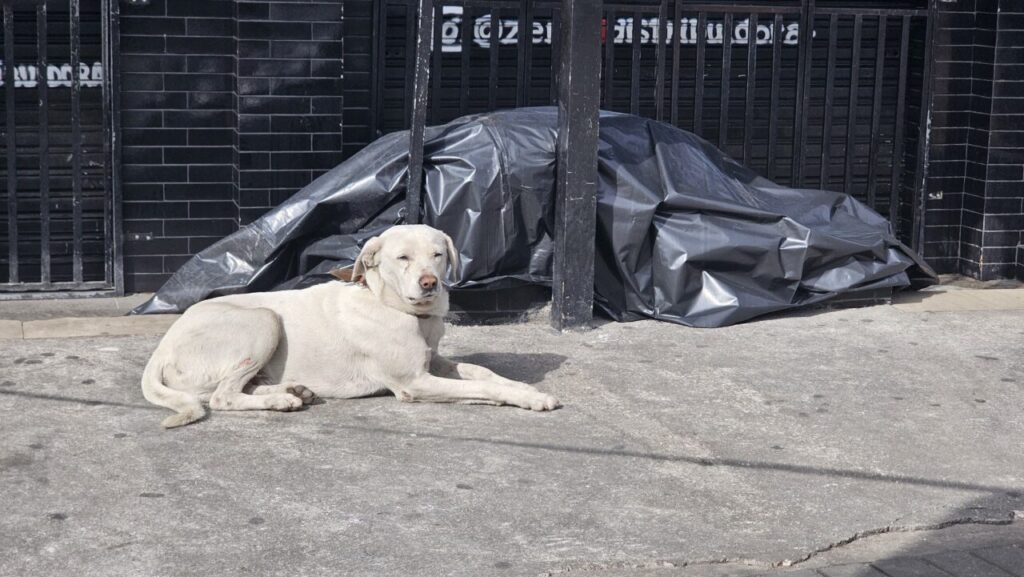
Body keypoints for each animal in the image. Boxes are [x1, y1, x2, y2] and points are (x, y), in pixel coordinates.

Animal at [140, 225, 561, 428]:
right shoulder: (415, 383)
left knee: (240, 386)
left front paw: (524, 387)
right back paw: (281, 400)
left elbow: (481, 371)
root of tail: (162, 347)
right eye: (402, 258)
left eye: (438, 255)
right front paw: (530, 398)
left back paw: (293, 390)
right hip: (264, 319)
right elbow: (483, 386)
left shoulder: (433, 361)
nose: (429, 284)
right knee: (222, 397)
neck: (399, 310)